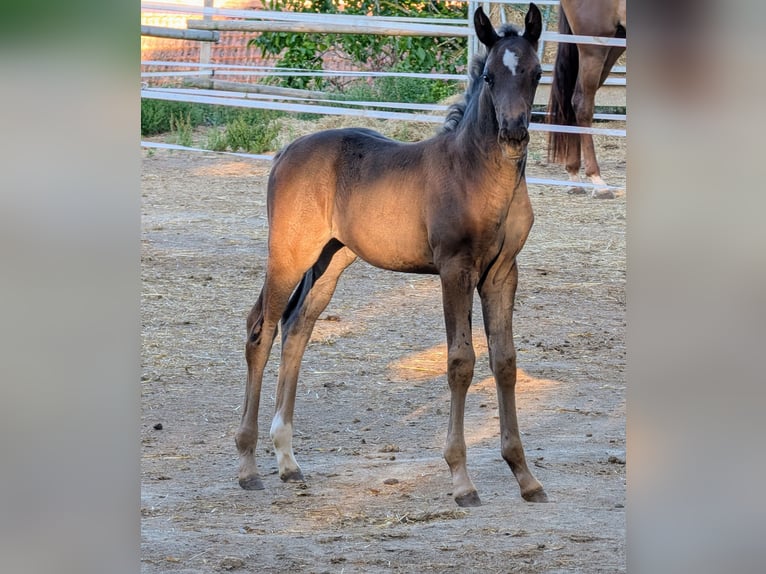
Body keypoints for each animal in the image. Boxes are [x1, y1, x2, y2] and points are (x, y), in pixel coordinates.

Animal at [235, 4, 549, 508]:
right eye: (490, 76)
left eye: (537, 73)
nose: (514, 132)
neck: (477, 175)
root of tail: (285, 151)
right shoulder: (454, 270)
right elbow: (460, 362)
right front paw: (462, 481)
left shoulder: (502, 273)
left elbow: (505, 362)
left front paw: (525, 476)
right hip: (289, 255)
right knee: (261, 331)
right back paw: (247, 467)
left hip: (331, 260)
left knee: (297, 328)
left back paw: (287, 461)